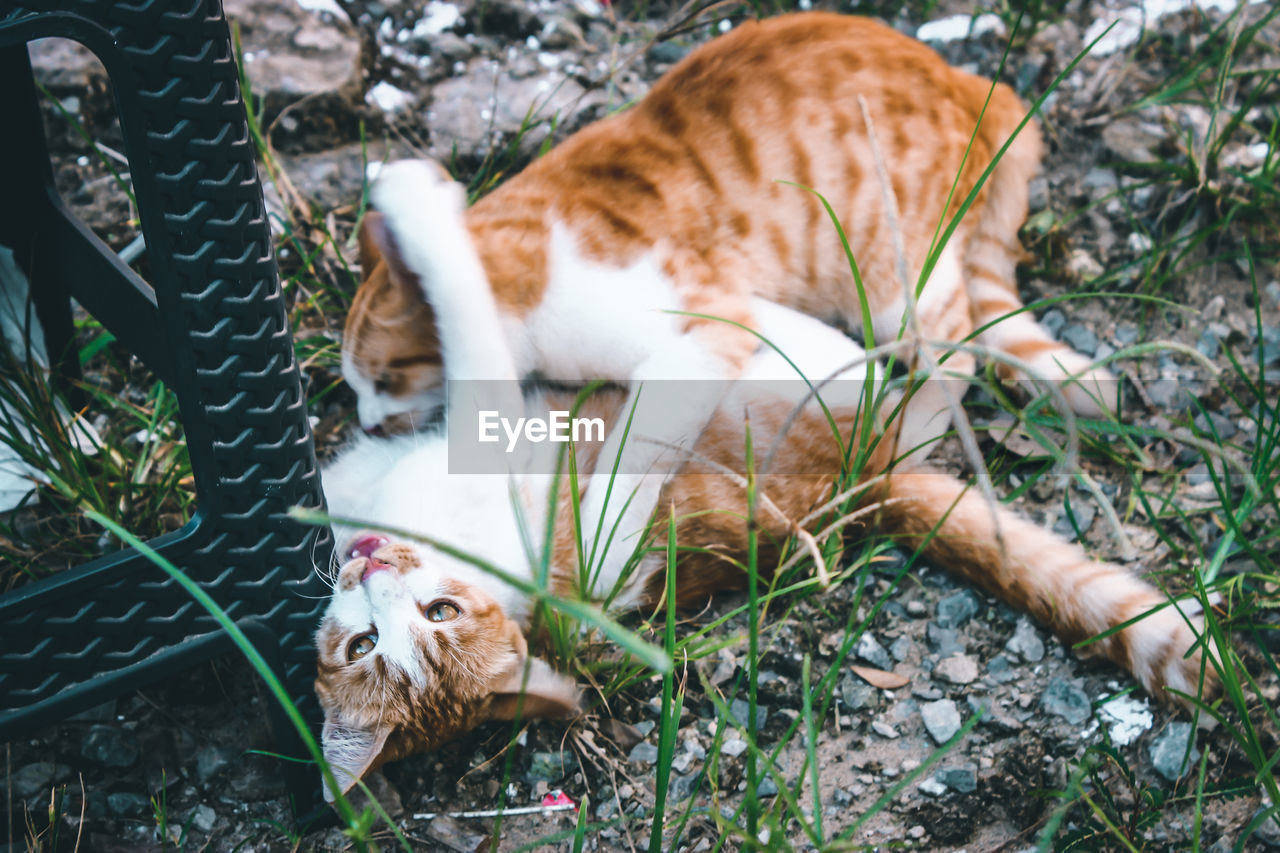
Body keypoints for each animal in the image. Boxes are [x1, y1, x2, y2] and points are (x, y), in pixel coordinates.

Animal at [314, 229, 1213, 799]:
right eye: (364, 647)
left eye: (440, 612)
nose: (373, 565)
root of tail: (872, 483)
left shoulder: (484, 423)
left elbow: (469, 321)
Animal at [345, 11, 1116, 591]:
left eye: (387, 377)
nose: (366, 423)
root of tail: (970, 79)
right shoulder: (758, 319)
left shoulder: (700, 334)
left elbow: (634, 452)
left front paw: (603, 545)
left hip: (899, 279)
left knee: (958, 350)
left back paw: (915, 425)